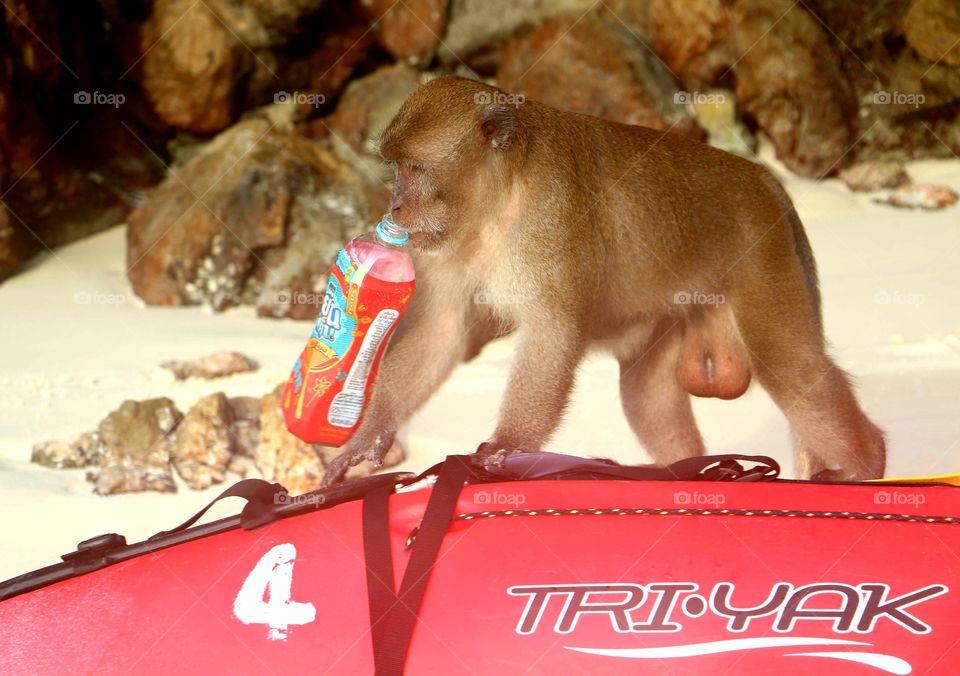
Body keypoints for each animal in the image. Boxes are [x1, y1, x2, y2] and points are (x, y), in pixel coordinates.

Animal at [319, 75, 886, 486]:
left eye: (414, 169)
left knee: (790, 365)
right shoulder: (440, 245)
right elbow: (441, 331)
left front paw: (505, 447)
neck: (499, 200)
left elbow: (553, 333)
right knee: (644, 390)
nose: (394, 207)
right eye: (393, 168)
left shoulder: (551, 219)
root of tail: (767, 179)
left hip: (761, 254)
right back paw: (689, 471)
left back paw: (866, 468)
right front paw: (366, 438)